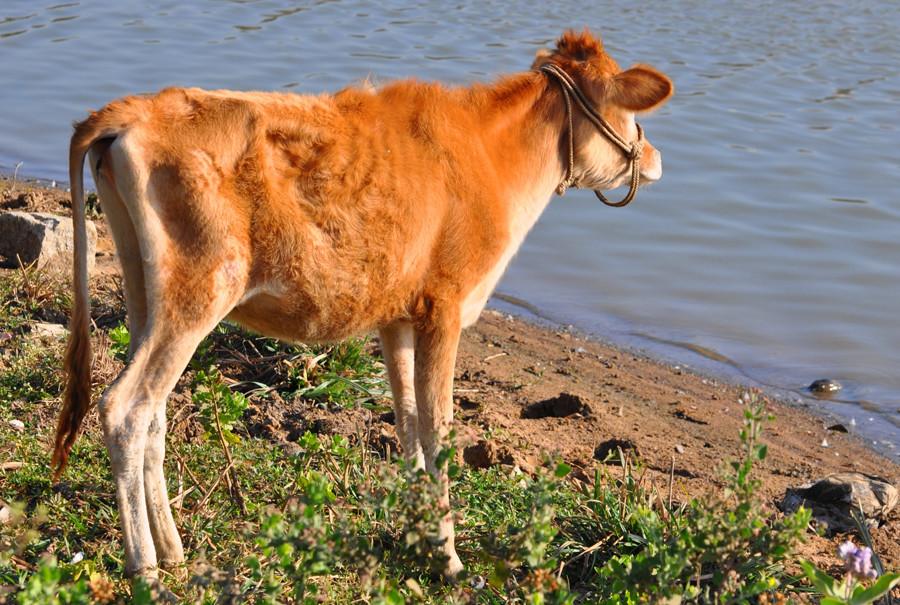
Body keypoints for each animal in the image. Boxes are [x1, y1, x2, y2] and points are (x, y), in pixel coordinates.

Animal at [51, 29, 668, 580]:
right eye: (629, 112)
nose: (654, 155)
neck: (493, 159)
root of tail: (134, 110)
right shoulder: (445, 306)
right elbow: (439, 428)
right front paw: (449, 559)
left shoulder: (398, 315)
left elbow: (408, 421)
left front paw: (420, 538)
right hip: (200, 292)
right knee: (126, 408)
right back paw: (146, 567)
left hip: (144, 293)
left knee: (153, 411)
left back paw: (175, 550)